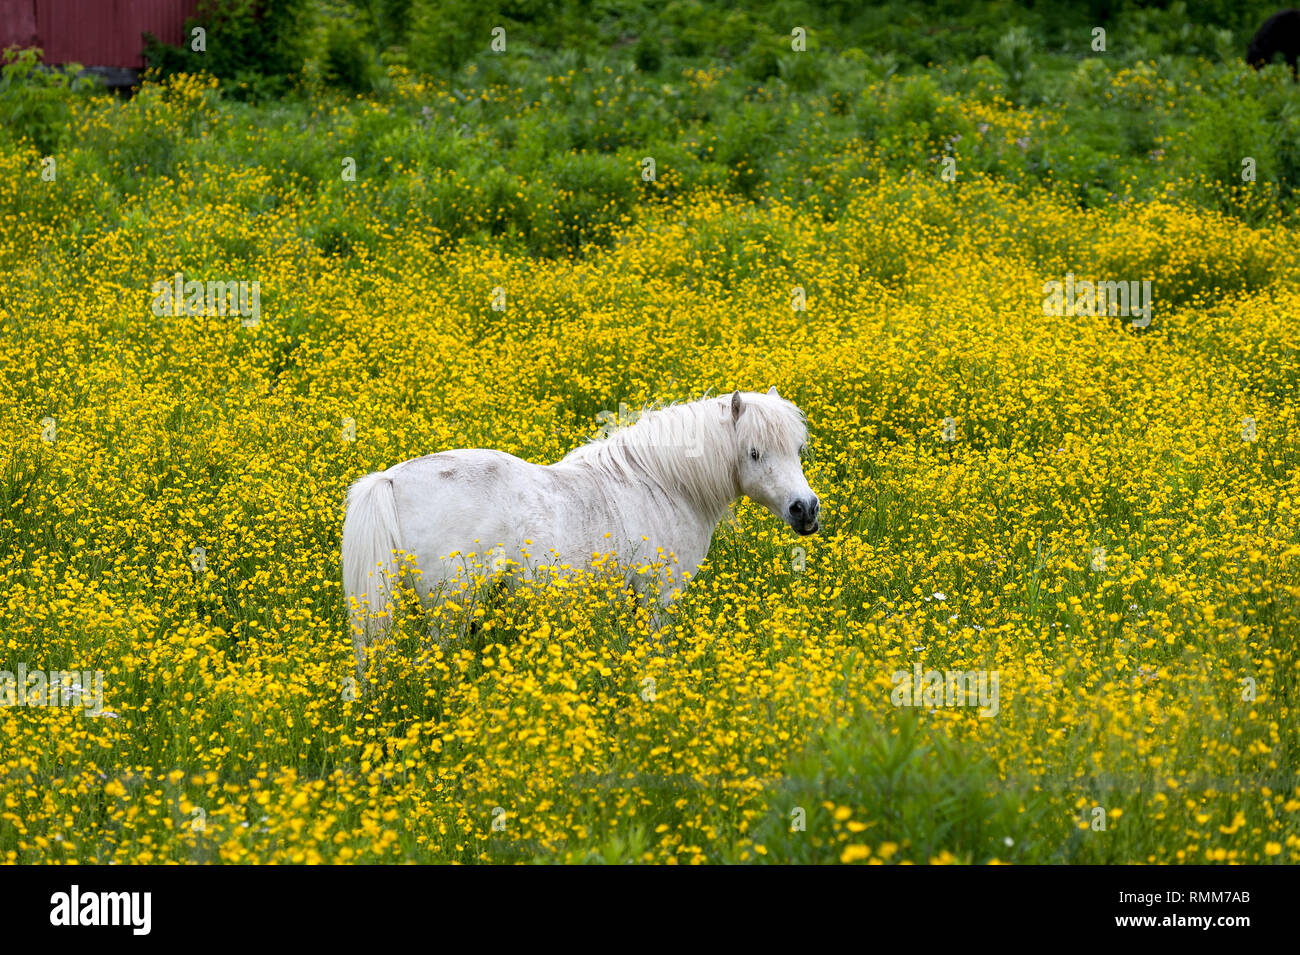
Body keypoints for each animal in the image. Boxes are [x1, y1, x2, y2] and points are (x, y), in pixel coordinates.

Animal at [341, 388, 819, 678]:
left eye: (798, 449)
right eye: (754, 452)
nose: (806, 510)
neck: (662, 483)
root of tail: (390, 479)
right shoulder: (658, 598)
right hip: (450, 613)